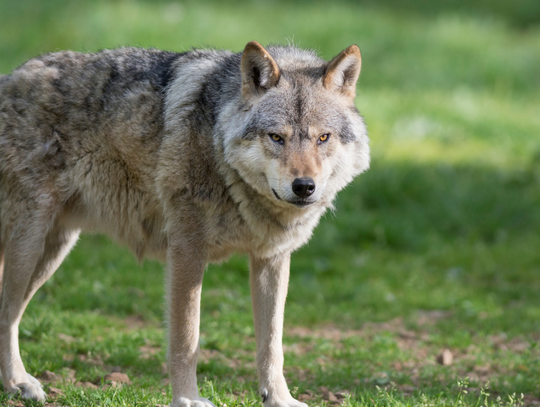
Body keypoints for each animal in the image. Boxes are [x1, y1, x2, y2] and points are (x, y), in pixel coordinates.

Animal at [0, 41, 370, 407]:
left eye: (323, 138)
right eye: (276, 137)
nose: (304, 186)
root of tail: (9, 77)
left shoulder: (272, 259)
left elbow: (272, 345)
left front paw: (280, 398)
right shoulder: (186, 252)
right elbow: (186, 339)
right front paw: (187, 399)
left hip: (53, 251)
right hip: (29, 248)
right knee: (8, 312)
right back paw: (19, 383)